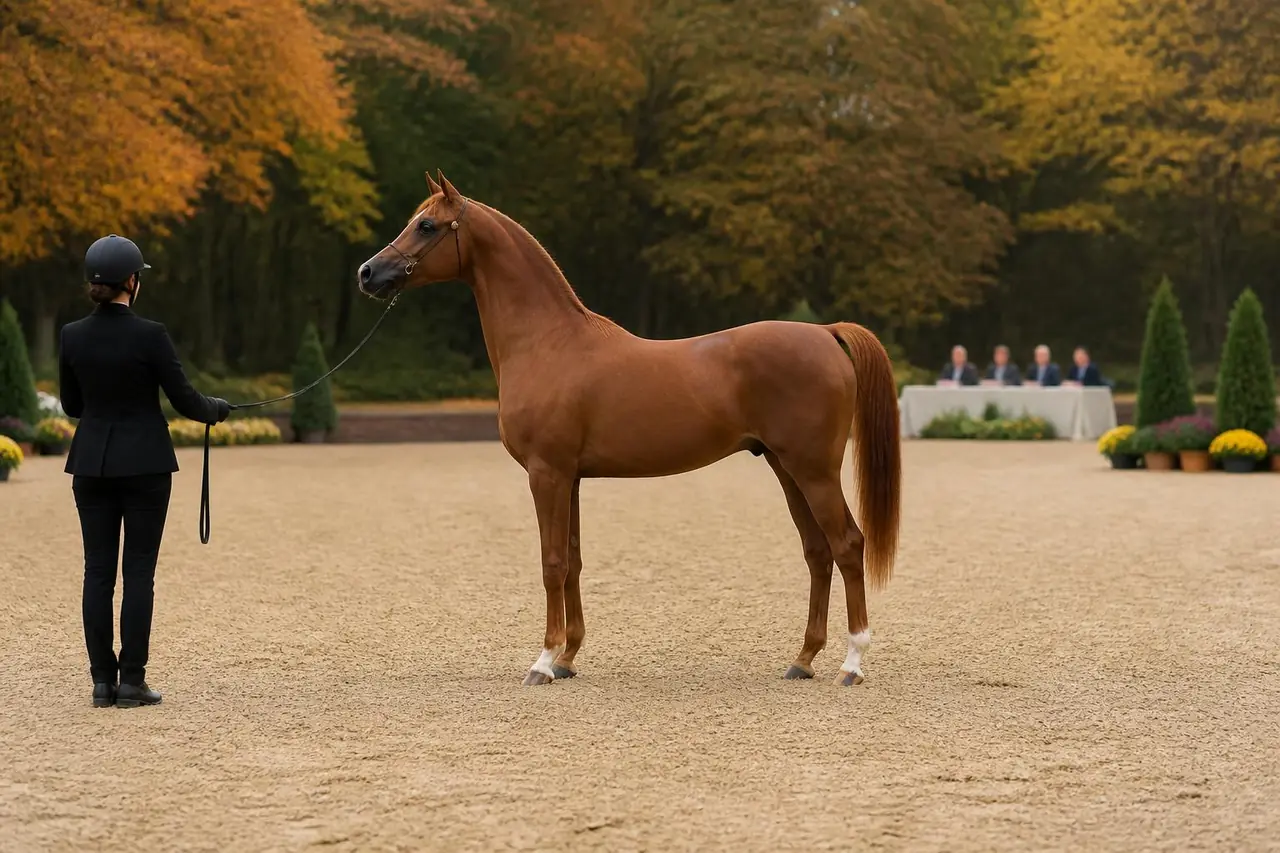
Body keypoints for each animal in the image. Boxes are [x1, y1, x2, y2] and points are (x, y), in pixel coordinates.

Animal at [357, 171, 902, 687]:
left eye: (427, 226)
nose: (368, 273)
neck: (547, 342)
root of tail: (825, 332)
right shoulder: (570, 477)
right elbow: (573, 560)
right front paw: (567, 658)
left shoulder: (546, 473)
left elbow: (551, 563)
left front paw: (543, 661)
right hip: (786, 468)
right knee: (818, 553)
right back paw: (802, 660)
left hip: (814, 471)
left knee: (847, 545)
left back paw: (851, 664)